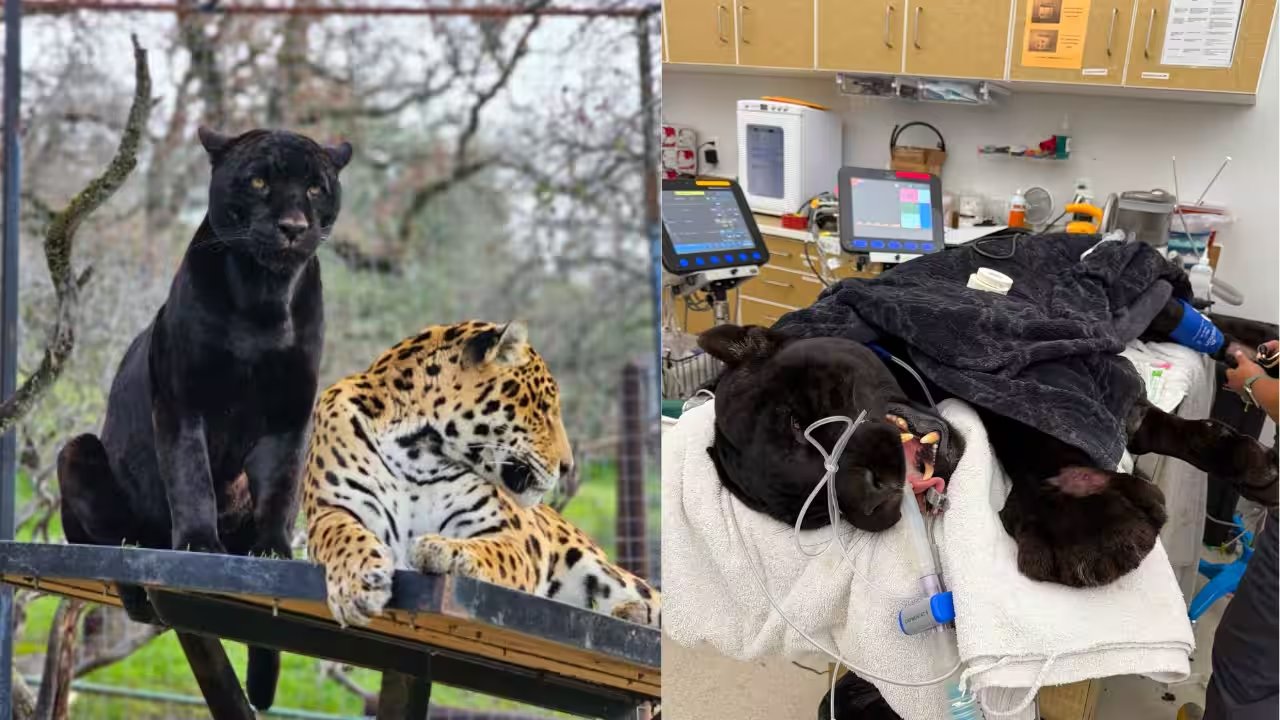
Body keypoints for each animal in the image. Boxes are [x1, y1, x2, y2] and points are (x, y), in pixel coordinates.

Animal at [302, 320, 660, 629]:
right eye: (544, 408)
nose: (567, 466)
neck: (418, 452)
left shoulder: (510, 537)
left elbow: (488, 550)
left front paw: (445, 550)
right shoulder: (330, 510)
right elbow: (344, 537)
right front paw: (356, 586)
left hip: (601, 568)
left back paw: (634, 611)